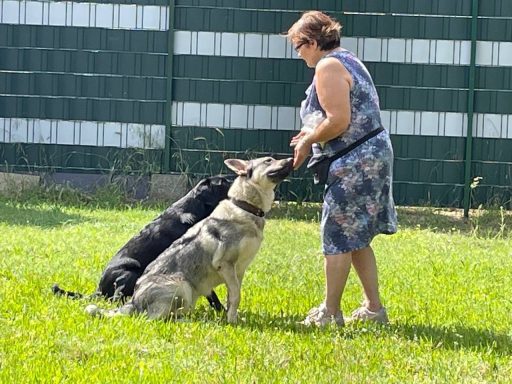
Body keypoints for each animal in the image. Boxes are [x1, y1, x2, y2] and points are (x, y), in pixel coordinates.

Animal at [87, 154, 292, 322]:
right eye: (269, 161)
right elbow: (235, 297)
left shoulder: (238, 272)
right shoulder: (226, 265)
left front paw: (231, 317)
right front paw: (232, 322)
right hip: (181, 285)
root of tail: (134, 301)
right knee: (152, 318)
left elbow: (232, 297)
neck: (245, 207)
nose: (291, 158)